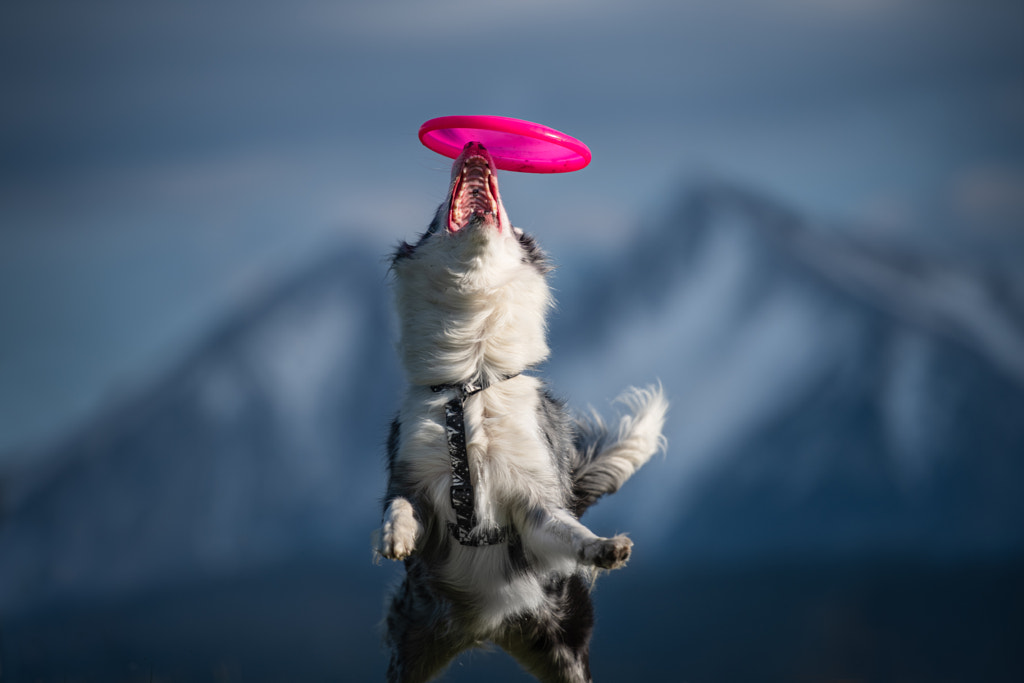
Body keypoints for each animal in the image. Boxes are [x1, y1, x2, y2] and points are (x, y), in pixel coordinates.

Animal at [376, 140, 663, 683]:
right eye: (434, 217)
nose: (475, 143)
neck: (472, 379)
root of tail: (485, 627)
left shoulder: (536, 497)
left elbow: (567, 529)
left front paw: (604, 547)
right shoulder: (412, 475)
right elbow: (400, 506)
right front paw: (394, 538)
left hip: (564, 646)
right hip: (411, 644)